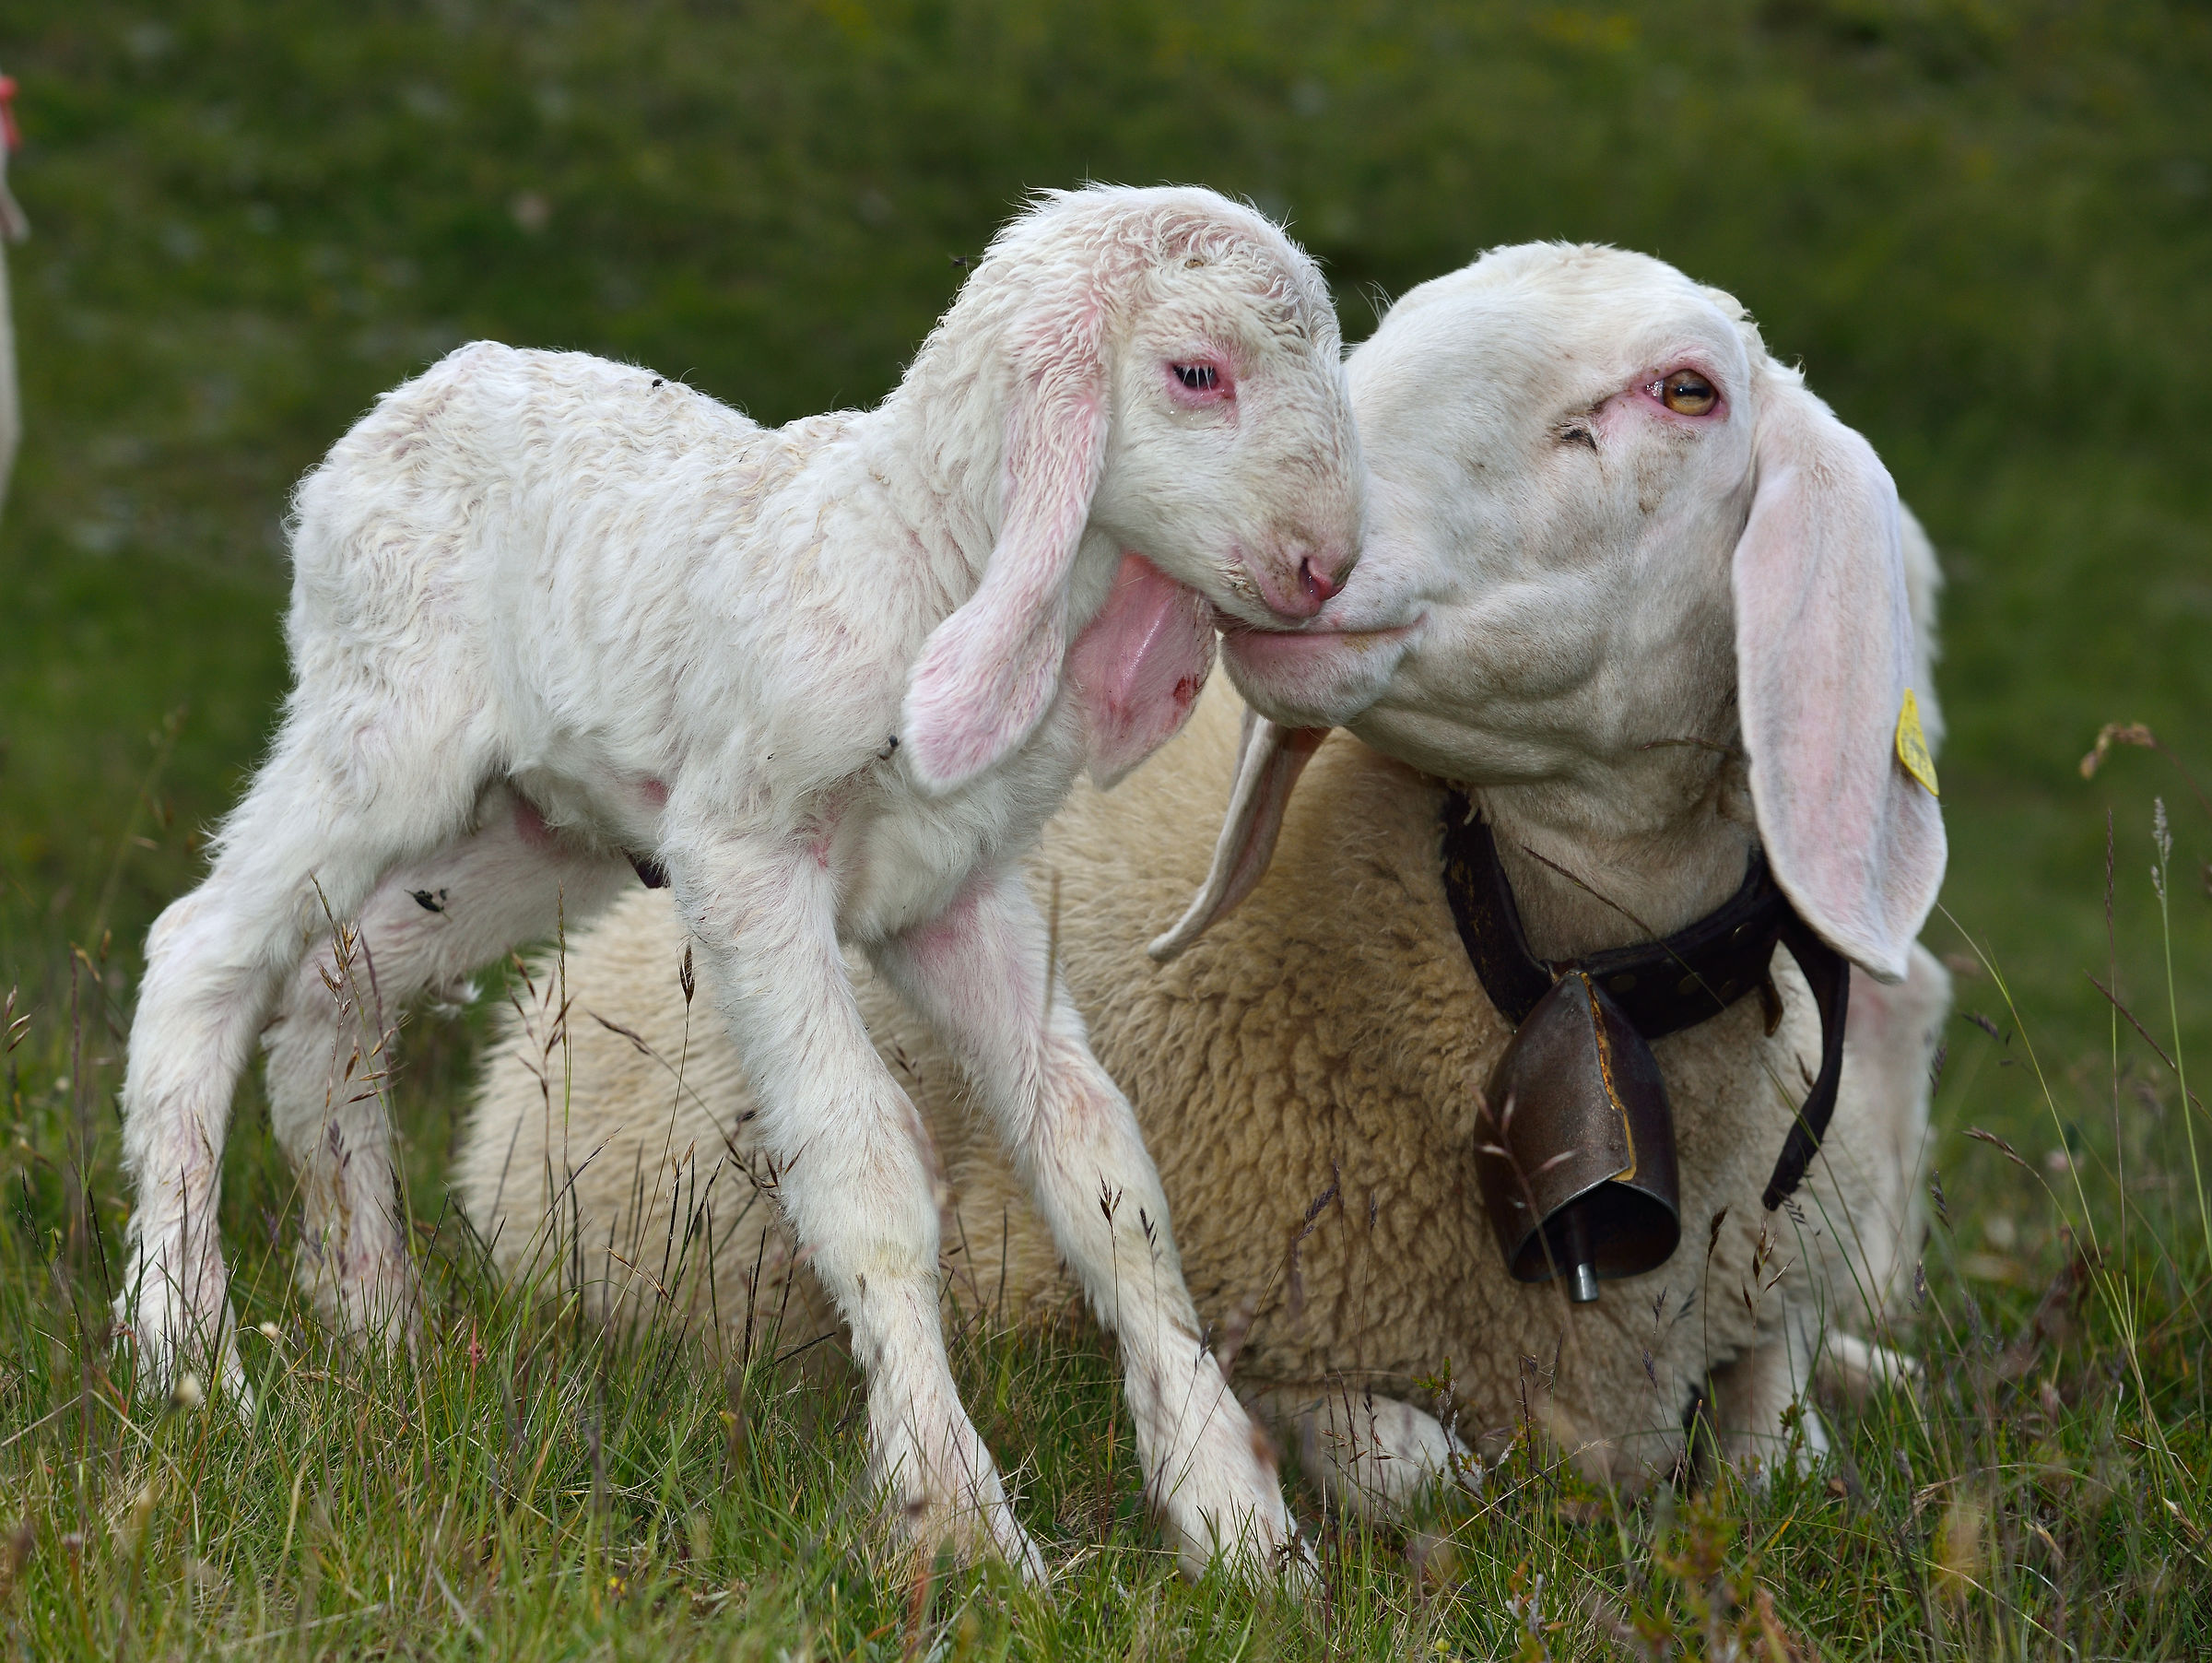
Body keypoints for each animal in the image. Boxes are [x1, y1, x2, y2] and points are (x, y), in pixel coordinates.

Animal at [115, 184, 1367, 1580]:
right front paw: (958, 1522)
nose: (1326, 569)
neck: (922, 559)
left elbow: (1106, 1177)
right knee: (201, 948)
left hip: (541, 822)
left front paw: (1238, 1524)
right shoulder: (747, 858)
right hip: (381, 722)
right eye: (1198, 374)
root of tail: (426, 389)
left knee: (341, 989)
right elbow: (864, 1161)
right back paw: (188, 1349)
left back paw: (375, 1325)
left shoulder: (957, 894)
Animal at [455, 241, 1951, 1520]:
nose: (1315, 557)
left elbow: (1780, 1450)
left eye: (1688, 390)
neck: (1581, 975)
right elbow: (1422, 1467)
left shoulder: (1764, 1279)